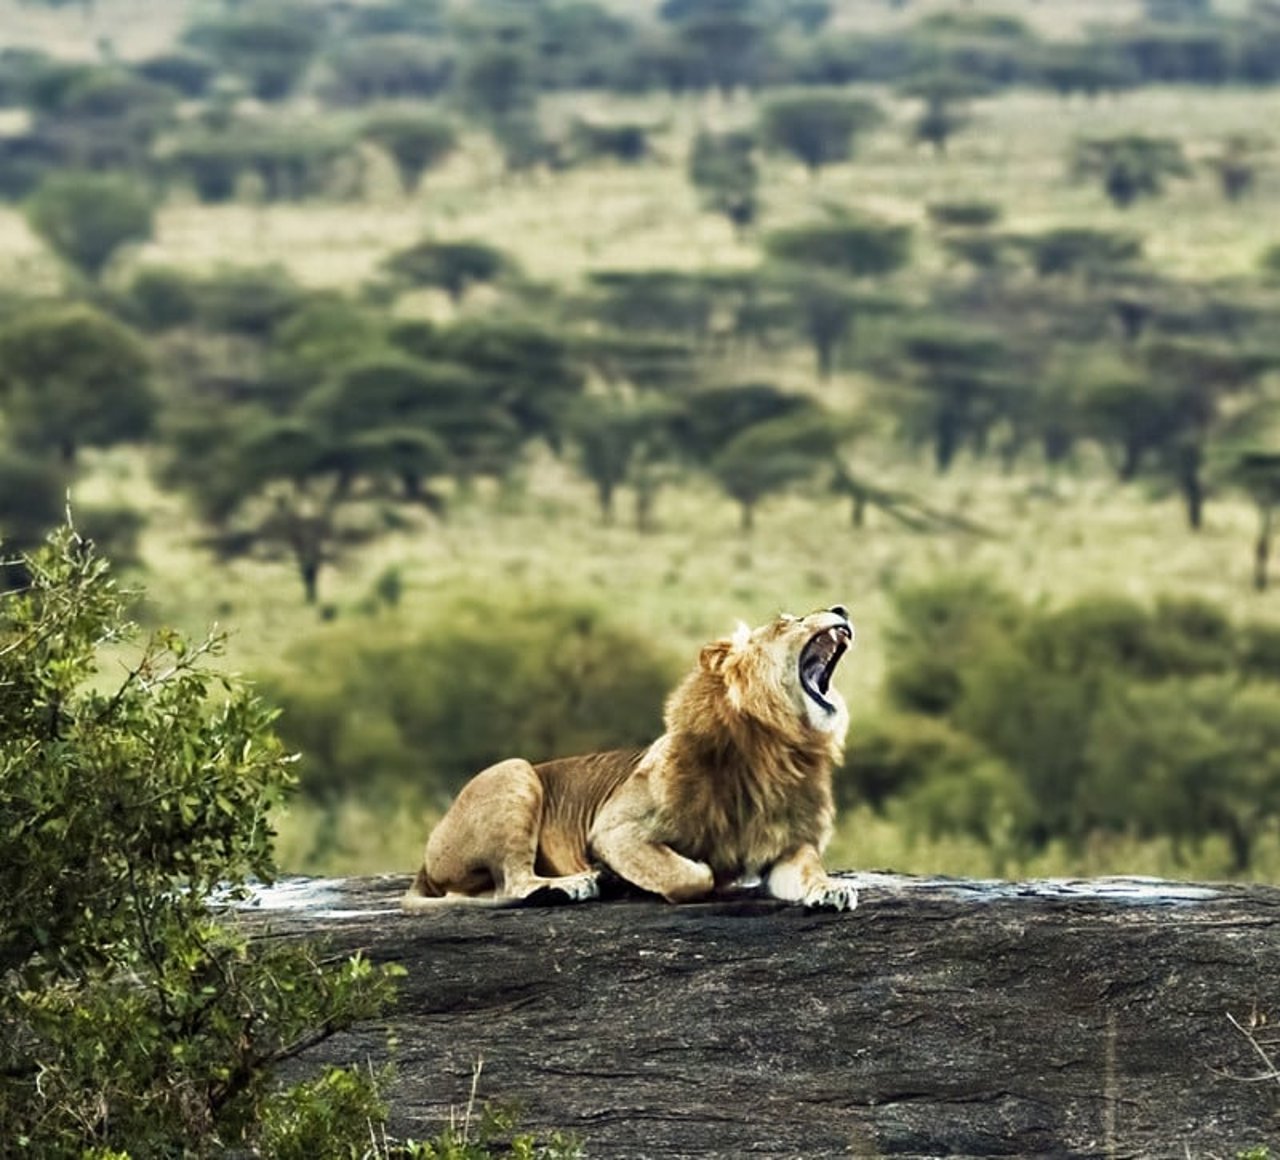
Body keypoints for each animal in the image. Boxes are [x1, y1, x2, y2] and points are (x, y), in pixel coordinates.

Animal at [399, 601, 860, 906]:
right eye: (789, 621)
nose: (841, 608)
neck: (773, 749)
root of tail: (425, 862)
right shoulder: (614, 830)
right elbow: (692, 875)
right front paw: (622, 876)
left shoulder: (787, 844)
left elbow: (808, 868)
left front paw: (831, 889)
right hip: (514, 772)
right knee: (512, 884)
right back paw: (572, 884)